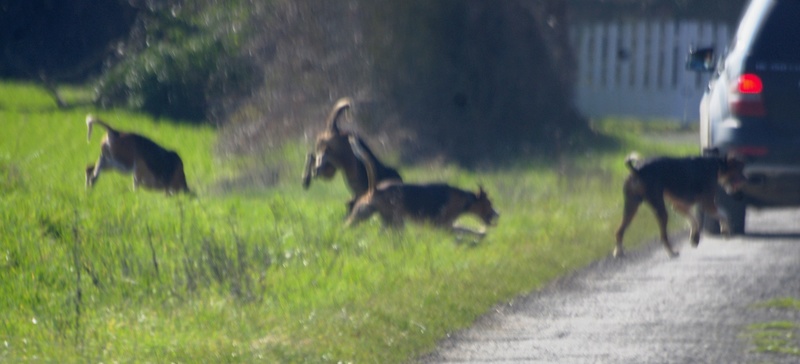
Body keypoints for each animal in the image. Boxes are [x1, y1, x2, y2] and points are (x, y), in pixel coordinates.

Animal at [346, 135, 496, 235]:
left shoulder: (447, 226)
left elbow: (465, 230)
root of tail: (376, 189)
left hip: (370, 215)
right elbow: (466, 231)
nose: (497, 214)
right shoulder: (444, 226)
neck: (466, 199)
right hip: (395, 221)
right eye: (489, 203)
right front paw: (479, 235)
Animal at [616, 154, 748, 258]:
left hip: (631, 207)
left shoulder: (679, 206)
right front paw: (725, 232)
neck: (717, 165)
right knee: (663, 237)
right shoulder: (708, 204)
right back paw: (672, 253)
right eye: (739, 171)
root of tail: (637, 170)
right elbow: (724, 214)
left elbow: (694, 220)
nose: (745, 179)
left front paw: (695, 238)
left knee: (619, 231)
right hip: (659, 209)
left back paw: (618, 252)